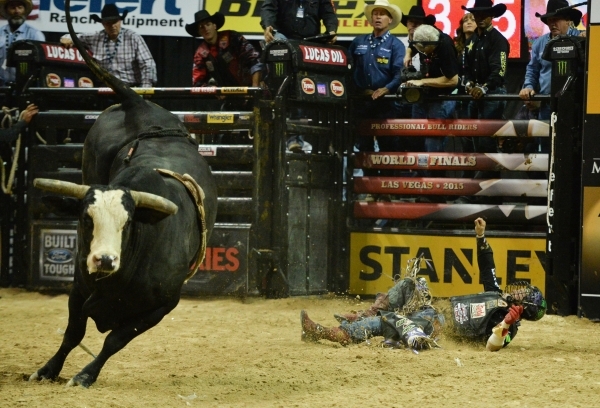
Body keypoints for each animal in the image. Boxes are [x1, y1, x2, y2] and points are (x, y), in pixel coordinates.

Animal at [28, 0, 217, 388]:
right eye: (85, 219)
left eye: (128, 224)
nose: (103, 259)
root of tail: (137, 103)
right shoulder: (79, 286)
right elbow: (73, 333)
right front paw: (49, 369)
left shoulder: (162, 306)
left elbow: (115, 340)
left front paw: (85, 375)